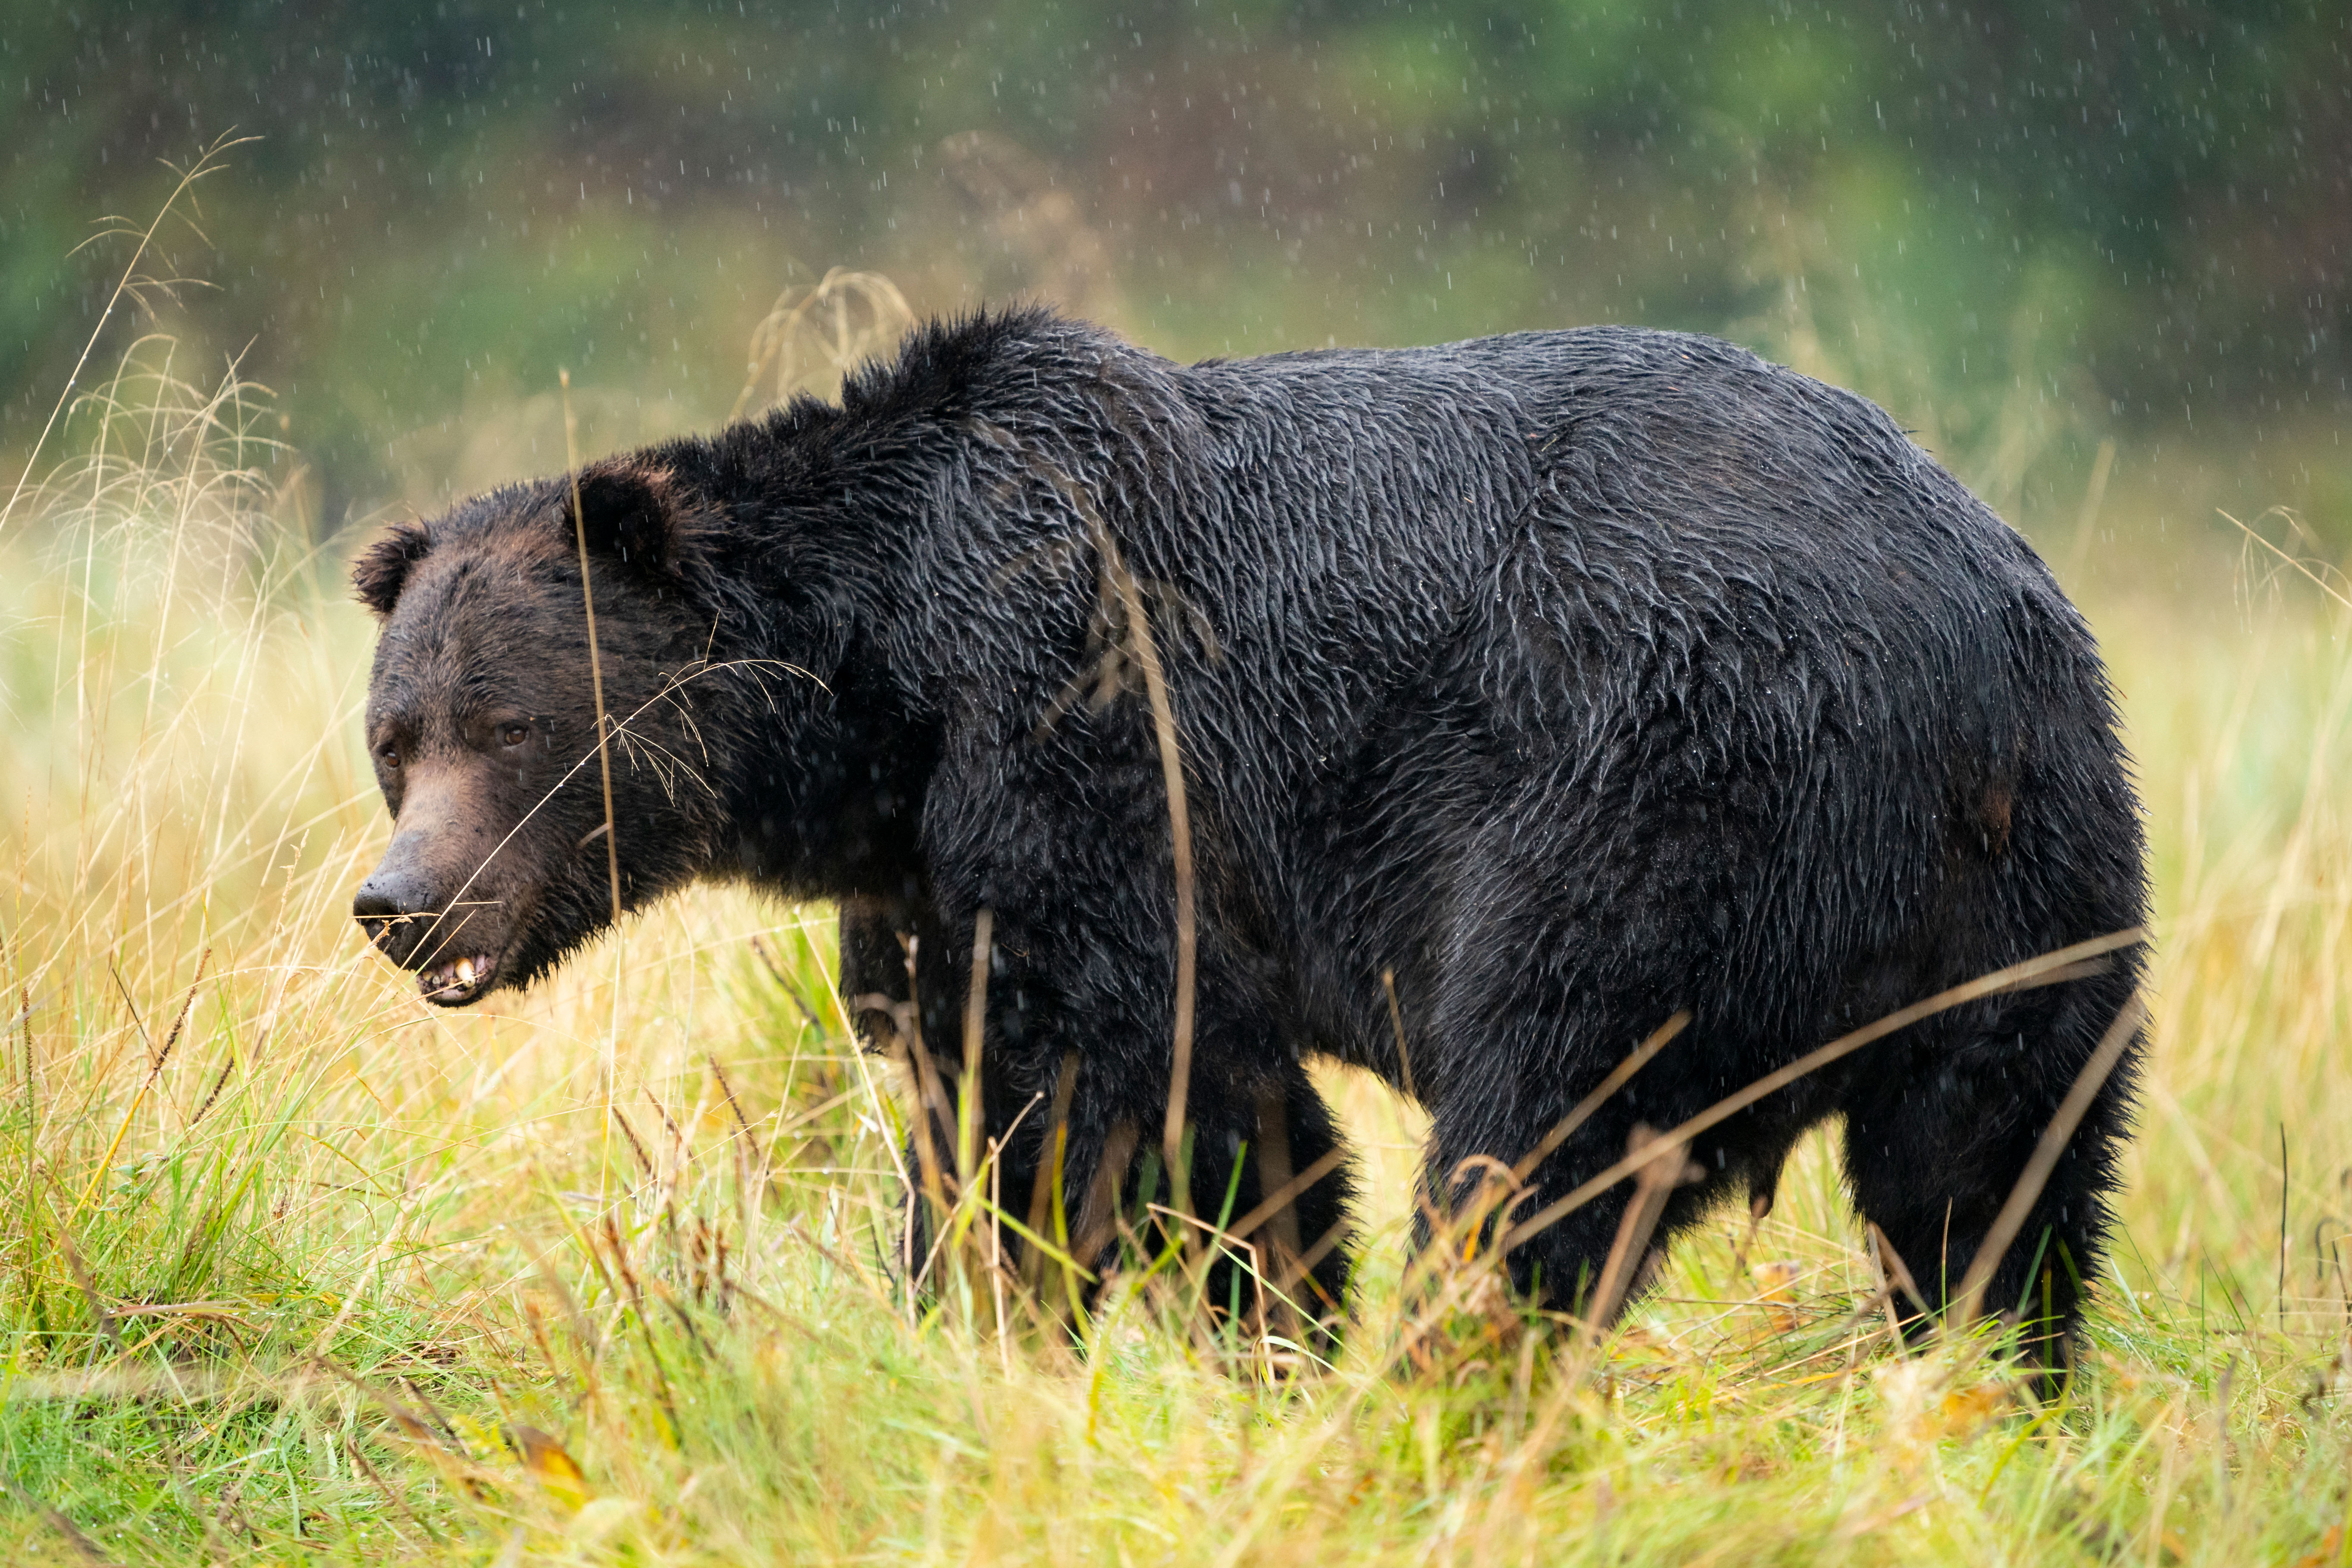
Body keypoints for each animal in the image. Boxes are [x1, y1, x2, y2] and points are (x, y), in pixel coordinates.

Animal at [351, 307, 2147, 1357]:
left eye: (510, 725)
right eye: (392, 738)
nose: (400, 900)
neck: (889, 696)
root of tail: (1958, 645)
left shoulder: (1084, 742)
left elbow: (1129, 1096)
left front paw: (1175, 1322)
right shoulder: (937, 868)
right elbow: (988, 1078)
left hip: (1660, 801)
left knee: (1543, 1128)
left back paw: (1446, 1370)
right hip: (2031, 891)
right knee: (1989, 1179)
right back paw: (1991, 1386)